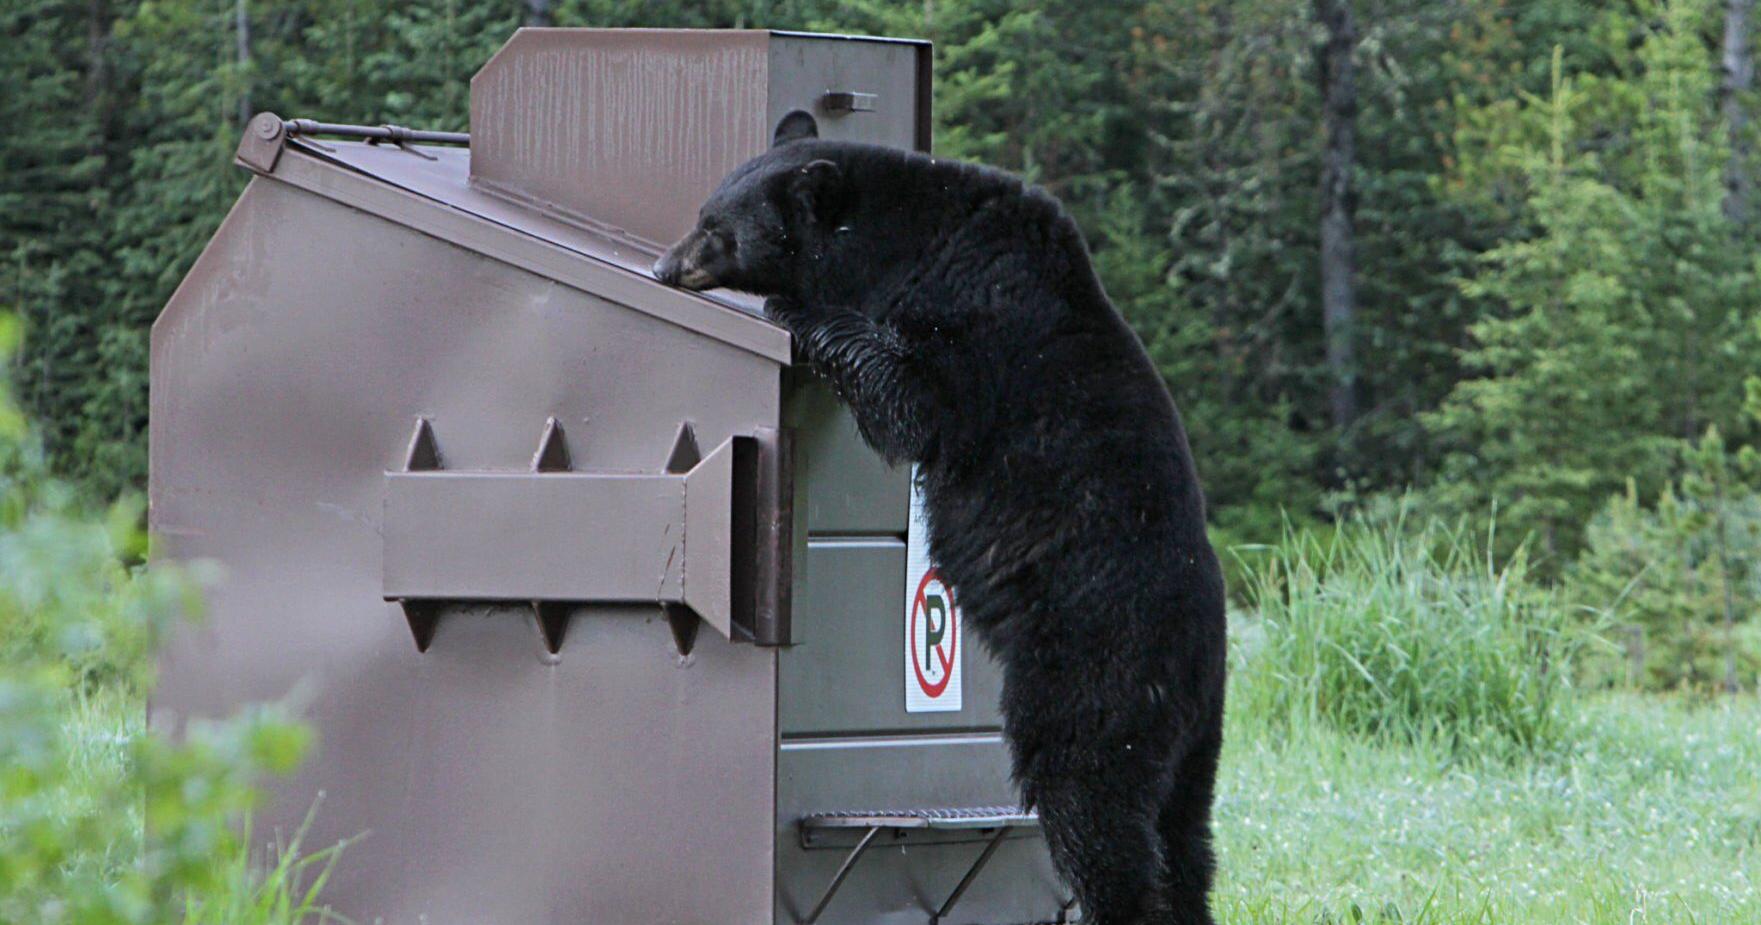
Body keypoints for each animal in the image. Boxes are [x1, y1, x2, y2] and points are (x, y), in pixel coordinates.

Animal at [655, 111, 1228, 925]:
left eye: (715, 227)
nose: (664, 267)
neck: (912, 238)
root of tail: (1196, 650)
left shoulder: (978, 314)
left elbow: (913, 404)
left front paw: (803, 313)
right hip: (1193, 736)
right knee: (1185, 837)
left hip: (1093, 668)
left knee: (1091, 798)